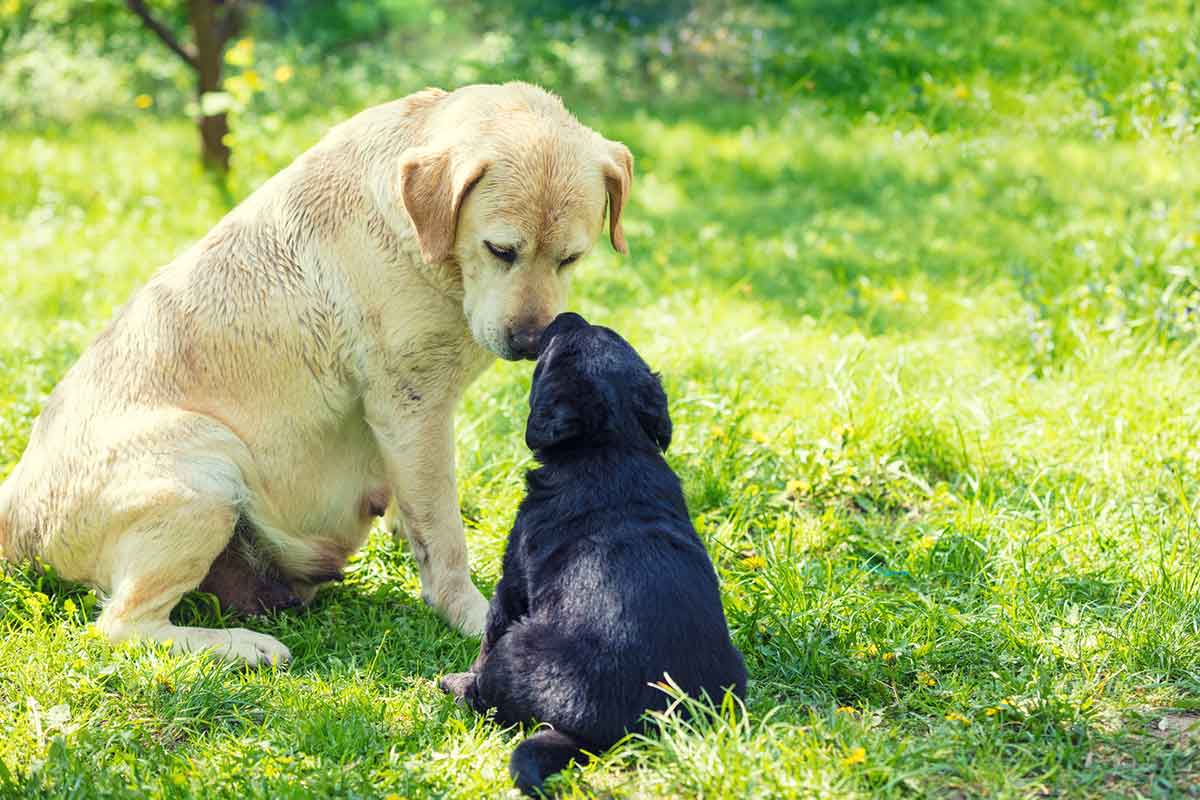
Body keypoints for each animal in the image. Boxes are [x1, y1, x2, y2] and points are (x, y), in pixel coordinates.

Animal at [436, 316, 744, 796]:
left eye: (554, 351)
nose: (569, 317)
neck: (611, 446)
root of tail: (625, 732)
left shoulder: (511, 582)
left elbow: (487, 636)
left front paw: (462, 673)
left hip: (517, 649)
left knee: (491, 698)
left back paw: (453, 686)